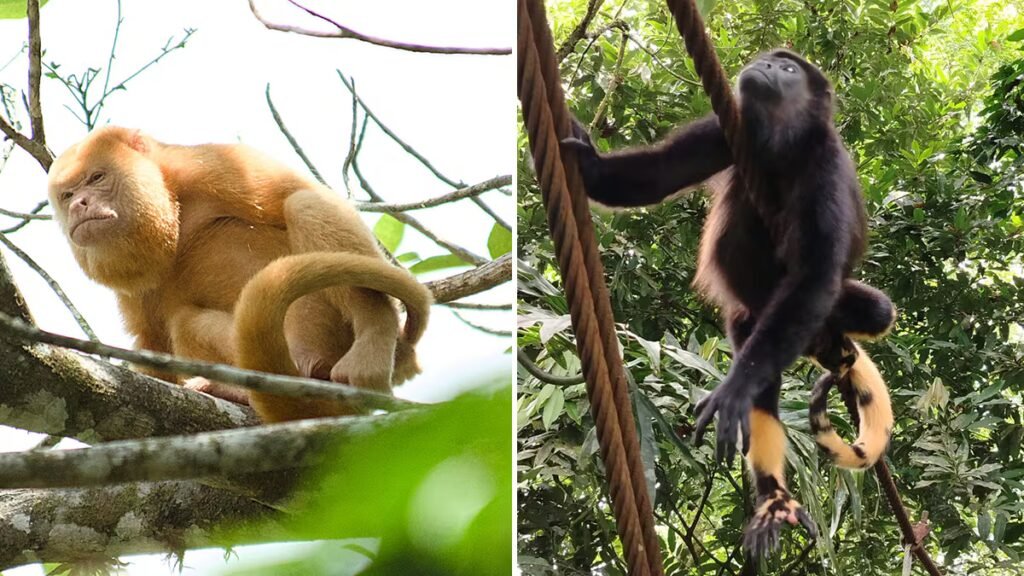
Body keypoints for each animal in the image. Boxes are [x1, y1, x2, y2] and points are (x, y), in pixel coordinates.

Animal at [46, 126, 432, 423]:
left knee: (303, 205)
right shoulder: (132, 289)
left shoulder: (209, 165)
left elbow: (304, 195)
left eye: (97, 177)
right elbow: (152, 341)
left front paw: (380, 330)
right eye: (67, 195)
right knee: (185, 322)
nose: (79, 205)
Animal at [562, 49, 896, 555]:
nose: (767, 66)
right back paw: (774, 496)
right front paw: (586, 161)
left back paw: (834, 353)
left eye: (790, 69)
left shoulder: (827, 169)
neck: (782, 144)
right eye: (772, 59)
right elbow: (656, 175)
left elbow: (815, 276)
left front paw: (735, 386)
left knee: (872, 311)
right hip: (749, 321)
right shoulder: (725, 130)